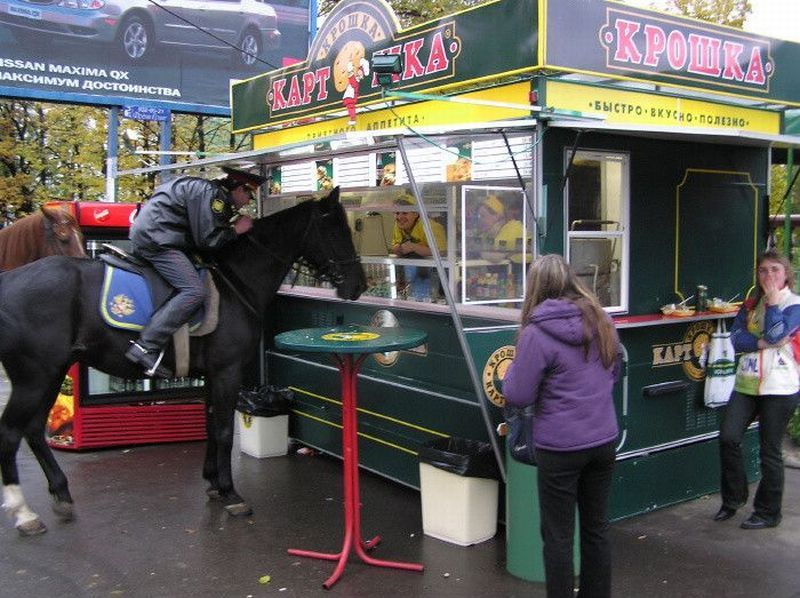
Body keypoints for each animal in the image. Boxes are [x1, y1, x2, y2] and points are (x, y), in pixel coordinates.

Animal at [0, 190, 368, 536]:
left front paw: (213, 482)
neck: (236, 283)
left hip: (51, 372)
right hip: (34, 377)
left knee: (32, 429)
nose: (359, 285)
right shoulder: (227, 371)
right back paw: (24, 512)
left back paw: (61, 494)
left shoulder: (212, 375)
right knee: (10, 431)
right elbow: (223, 430)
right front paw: (231, 492)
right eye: (335, 227)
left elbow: (210, 425)